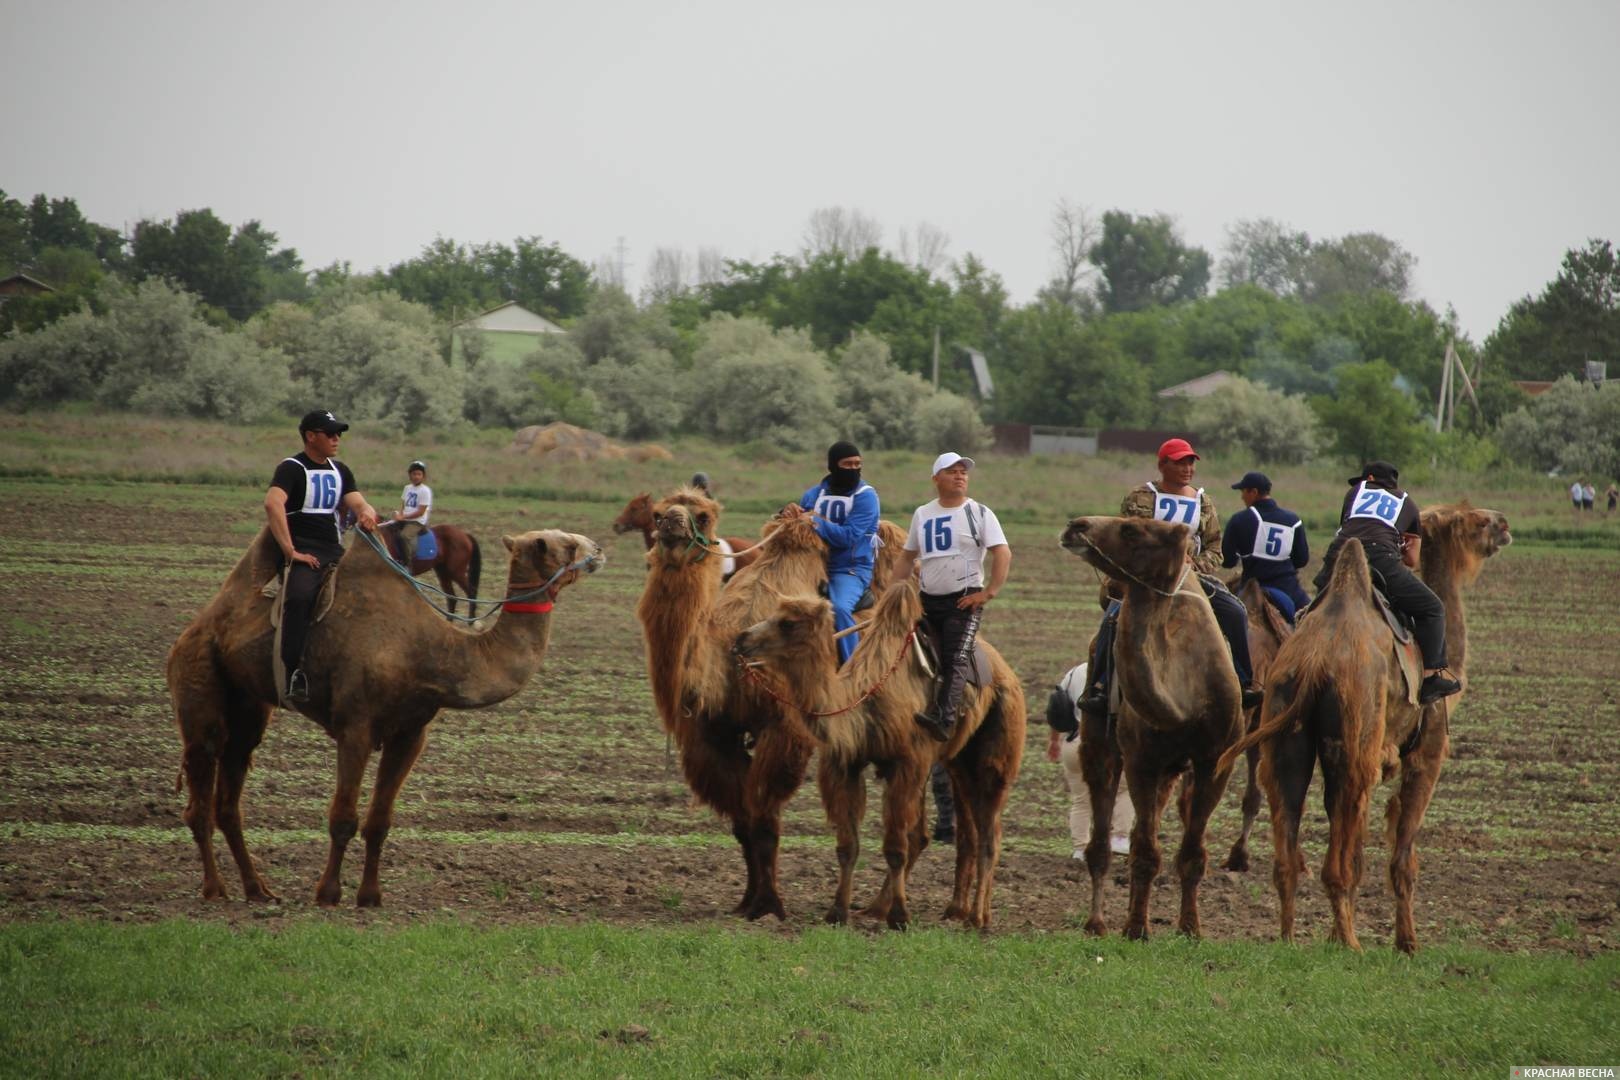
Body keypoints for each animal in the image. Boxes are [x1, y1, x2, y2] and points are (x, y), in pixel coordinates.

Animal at [167, 524, 605, 906]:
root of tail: (198, 625)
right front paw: (328, 894)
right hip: (199, 678)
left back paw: (258, 889)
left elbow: (380, 821)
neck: (430, 650)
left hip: (248, 704)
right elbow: (344, 817)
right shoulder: (355, 725)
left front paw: (370, 897)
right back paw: (214, 889)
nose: (599, 548)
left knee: (231, 790)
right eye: (563, 544)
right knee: (201, 787)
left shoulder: (410, 732)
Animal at [735, 582, 1023, 932]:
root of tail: (1006, 671)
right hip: (958, 760)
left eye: (787, 623)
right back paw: (940, 909)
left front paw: (899, 917)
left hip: (998, 749)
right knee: (966, 829)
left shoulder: (907, 762)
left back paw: (978, 918)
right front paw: (838, 911)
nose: (741, 639)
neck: (863, 700)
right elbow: (848, 846)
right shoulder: (845, 764)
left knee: (989, 831)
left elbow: (896, 845)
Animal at [1062, 514, 1237, 939]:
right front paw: (1136, 929)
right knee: (1102, 843)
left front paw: (1190, 928)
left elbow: (1192, 852)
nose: (1076, 524)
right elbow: (1143, 851)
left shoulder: (1215, 762)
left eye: (1131, 529)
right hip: (1101, 746)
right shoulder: (1141, 759)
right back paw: (1097, 922)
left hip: (1171, 770)